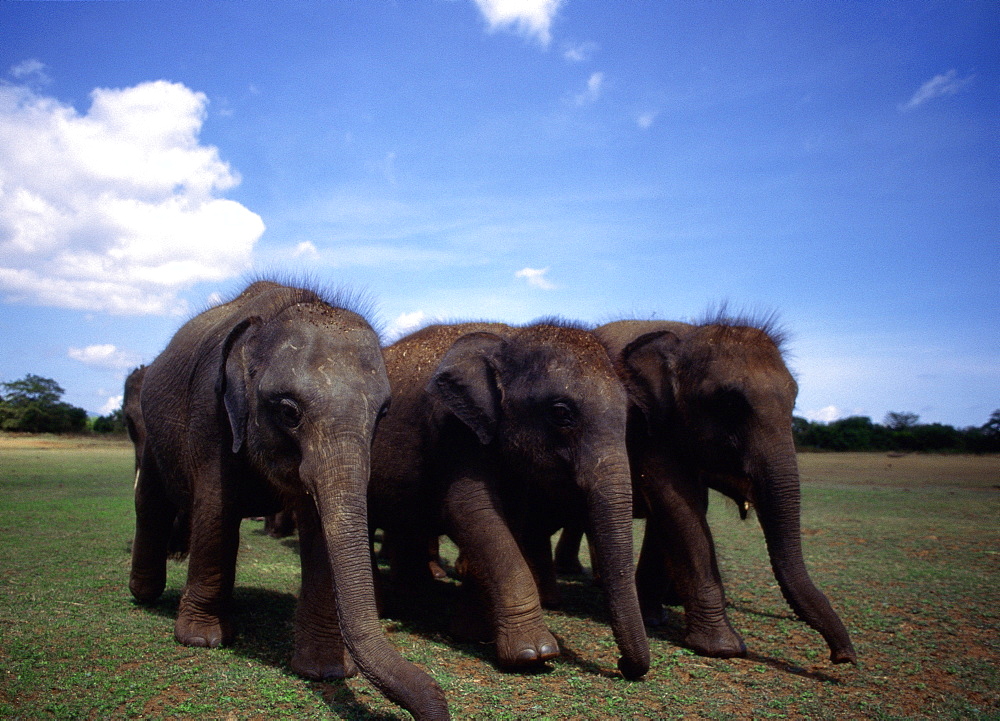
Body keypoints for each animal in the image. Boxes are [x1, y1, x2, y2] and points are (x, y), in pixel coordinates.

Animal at [130, 278, 450, 716]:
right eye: (288, 411)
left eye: (383, 413)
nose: (437, 702)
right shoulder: (209, 411)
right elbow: (216, 509)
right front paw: (202, 640)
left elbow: (320, 530)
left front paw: (325, 671)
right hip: (153, 432)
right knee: (151, 503)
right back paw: (144, 596)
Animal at [372, 324, 652, 676]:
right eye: (561, 413)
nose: (622, 665)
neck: (510, 338)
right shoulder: (454, 431)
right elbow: (473, 513)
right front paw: (535, 653)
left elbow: (509, 518)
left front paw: (472, 634)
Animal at [560, 318, 856, 668]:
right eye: (729, 403)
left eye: (794, 401)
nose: (843, 657)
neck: (688, 336)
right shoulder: (650, 429)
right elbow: (678, 506)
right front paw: (723, 648)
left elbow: (680, 507)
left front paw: (654, 618)